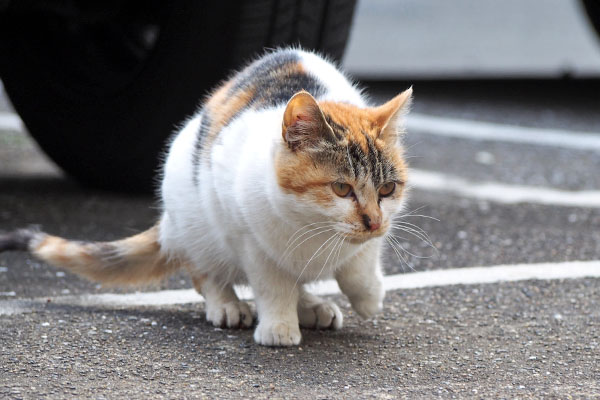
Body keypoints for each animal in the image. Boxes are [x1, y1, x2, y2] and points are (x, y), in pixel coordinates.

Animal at [0, 47, 410, 346]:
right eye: (341, 188)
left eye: (387, 189)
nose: (372, 220)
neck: (314, 231)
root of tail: (169, 223)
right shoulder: (246, 235)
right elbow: (272, 283)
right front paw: (278, 326)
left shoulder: (371, 237)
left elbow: (359, 264)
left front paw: (368, 296)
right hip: (193, 212)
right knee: (204, 271)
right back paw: (229, 304)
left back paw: (313, 306)